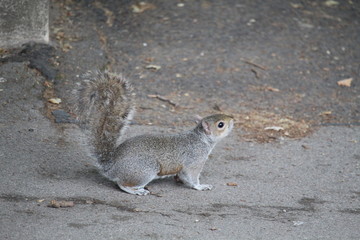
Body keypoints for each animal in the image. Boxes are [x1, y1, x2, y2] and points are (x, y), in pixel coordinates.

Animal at [76, 71, 233, 195]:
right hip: (146, 169)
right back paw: (137, 191)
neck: (201, 139)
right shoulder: (194, 160)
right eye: (220, 124)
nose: (232, 119)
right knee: (122, 184)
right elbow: (190, 177)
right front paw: (200, 186)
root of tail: (111, 167)